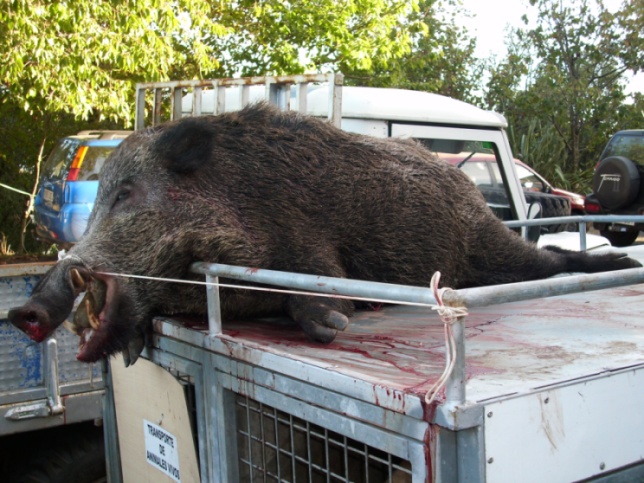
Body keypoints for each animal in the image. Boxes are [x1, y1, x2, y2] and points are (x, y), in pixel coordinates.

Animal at [9, 103, 641, 365]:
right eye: (101, 195)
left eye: (125, 194)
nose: (24, 311)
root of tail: (464, 186)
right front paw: (134, 350)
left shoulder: (311, 249)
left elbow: (315, 288)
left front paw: (335, 325)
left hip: (485, 248)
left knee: (552, 261)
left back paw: (617, 269)